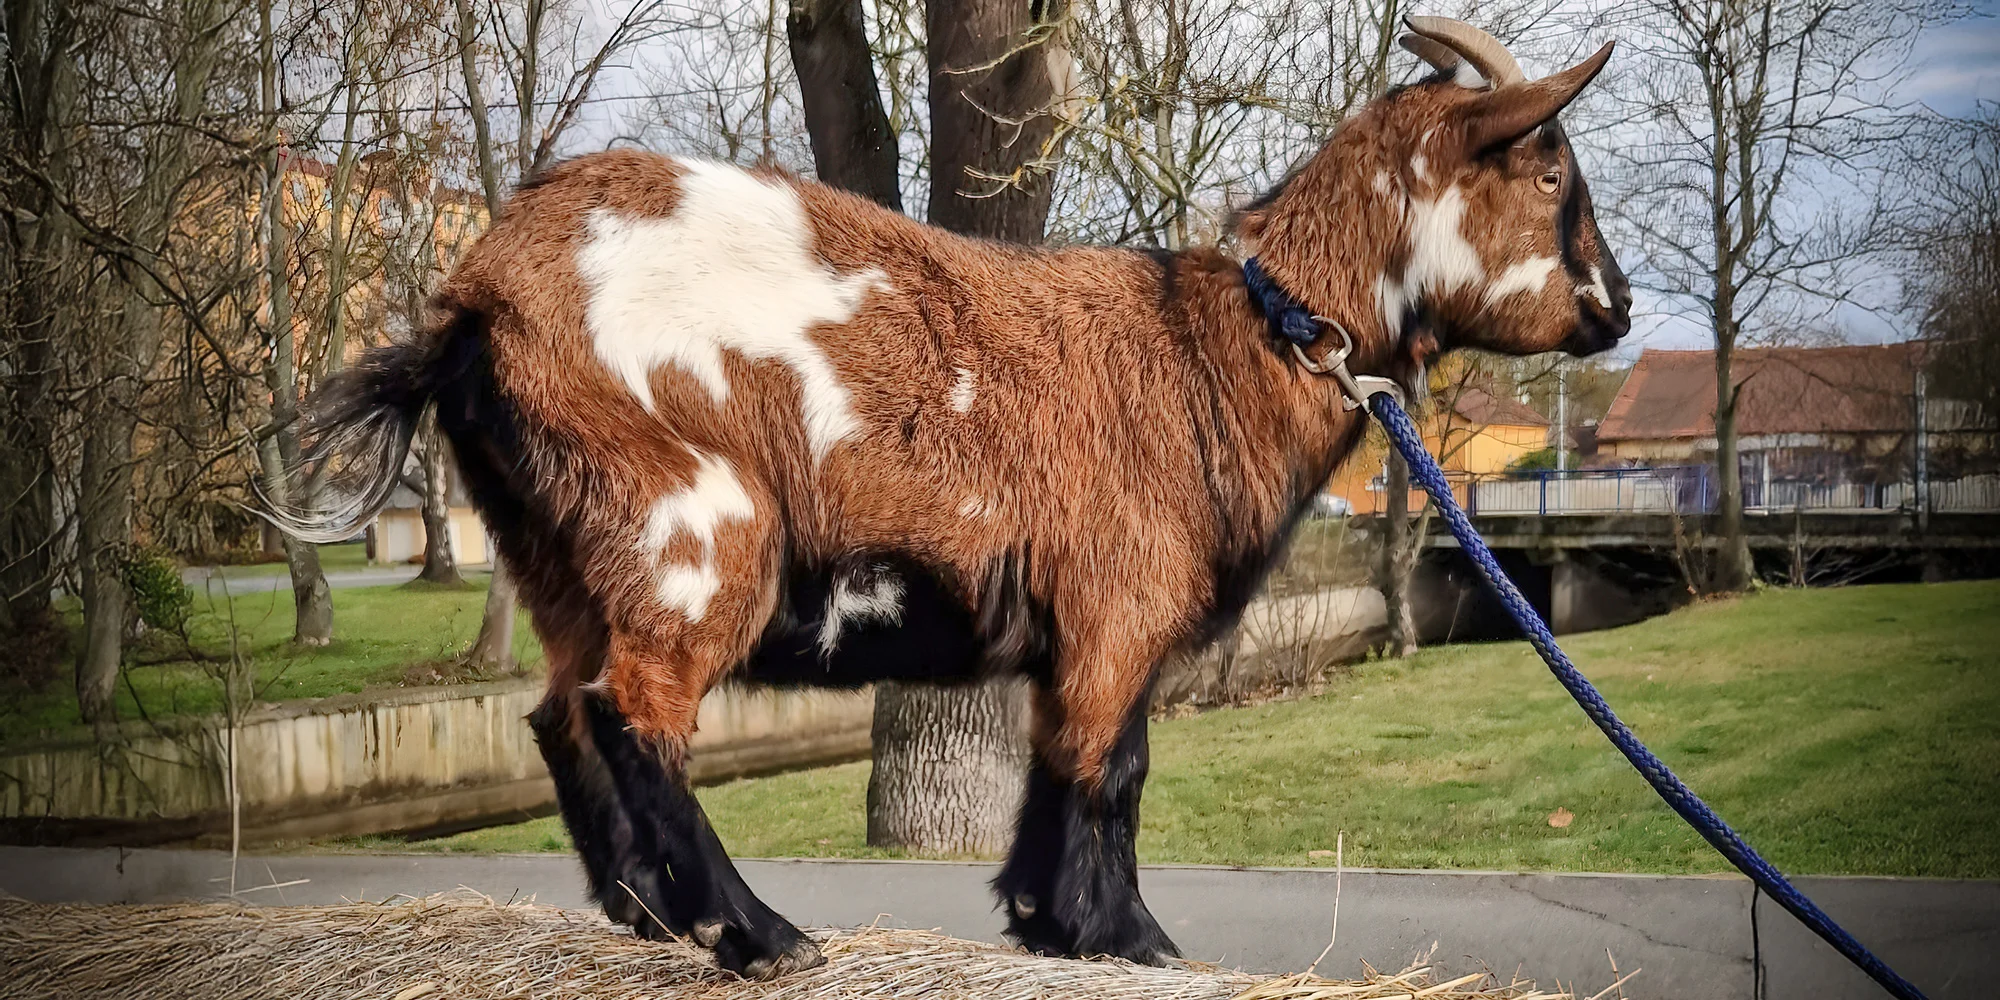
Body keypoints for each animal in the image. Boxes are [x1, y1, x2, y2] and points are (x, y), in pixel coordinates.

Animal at [278, 15, 1624, 980]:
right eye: (1547, 163)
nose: (1610, 311)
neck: (1220, 345)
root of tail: (474, 305)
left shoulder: (1079, 626)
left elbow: (1076, 760)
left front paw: (1042, 920)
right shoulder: (1118, 605)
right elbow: (1108, 767)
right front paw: (1130, 937)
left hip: (554, 541)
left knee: (561, 711)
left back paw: (647, 916)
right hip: (688, 519)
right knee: (633, 708)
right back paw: (754, 933)